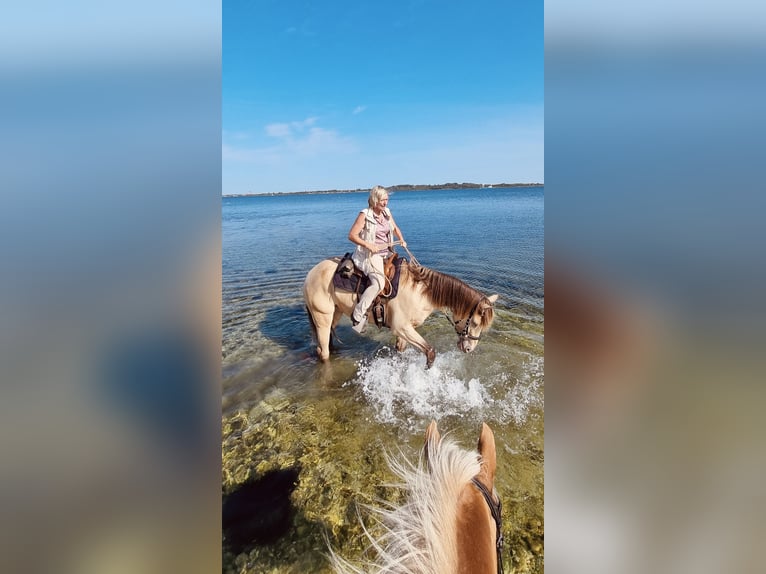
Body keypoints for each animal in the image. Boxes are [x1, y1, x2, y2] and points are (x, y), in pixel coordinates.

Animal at [303, 257, 498, 368]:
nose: (469, 348)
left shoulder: (405, 331)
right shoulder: (402, 328)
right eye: (475, 323)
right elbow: (430, 352)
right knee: (323, 352)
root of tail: (311, 273)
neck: (420, 292)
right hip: (322, 318)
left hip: (334, 315)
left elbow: (400, 351)